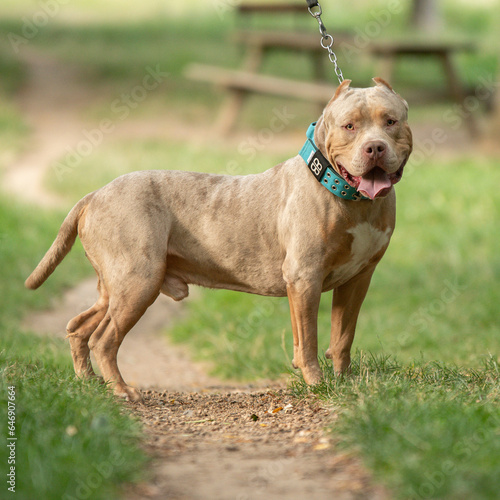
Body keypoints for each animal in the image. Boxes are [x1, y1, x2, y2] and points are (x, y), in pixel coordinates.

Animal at [25, 78, 412, 402]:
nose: (375, 148)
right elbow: (309, 339)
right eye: (350, 126)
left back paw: (89, 382)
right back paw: (122, 390)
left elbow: (343, 336)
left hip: (115, 287)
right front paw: (317, 384)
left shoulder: (358, 278)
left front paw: (345, 384)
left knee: (79, 328)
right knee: (104, 339)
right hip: (138, 281)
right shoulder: (305, 278)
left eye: (390, 121)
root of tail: (94, 194)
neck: (348, 196)